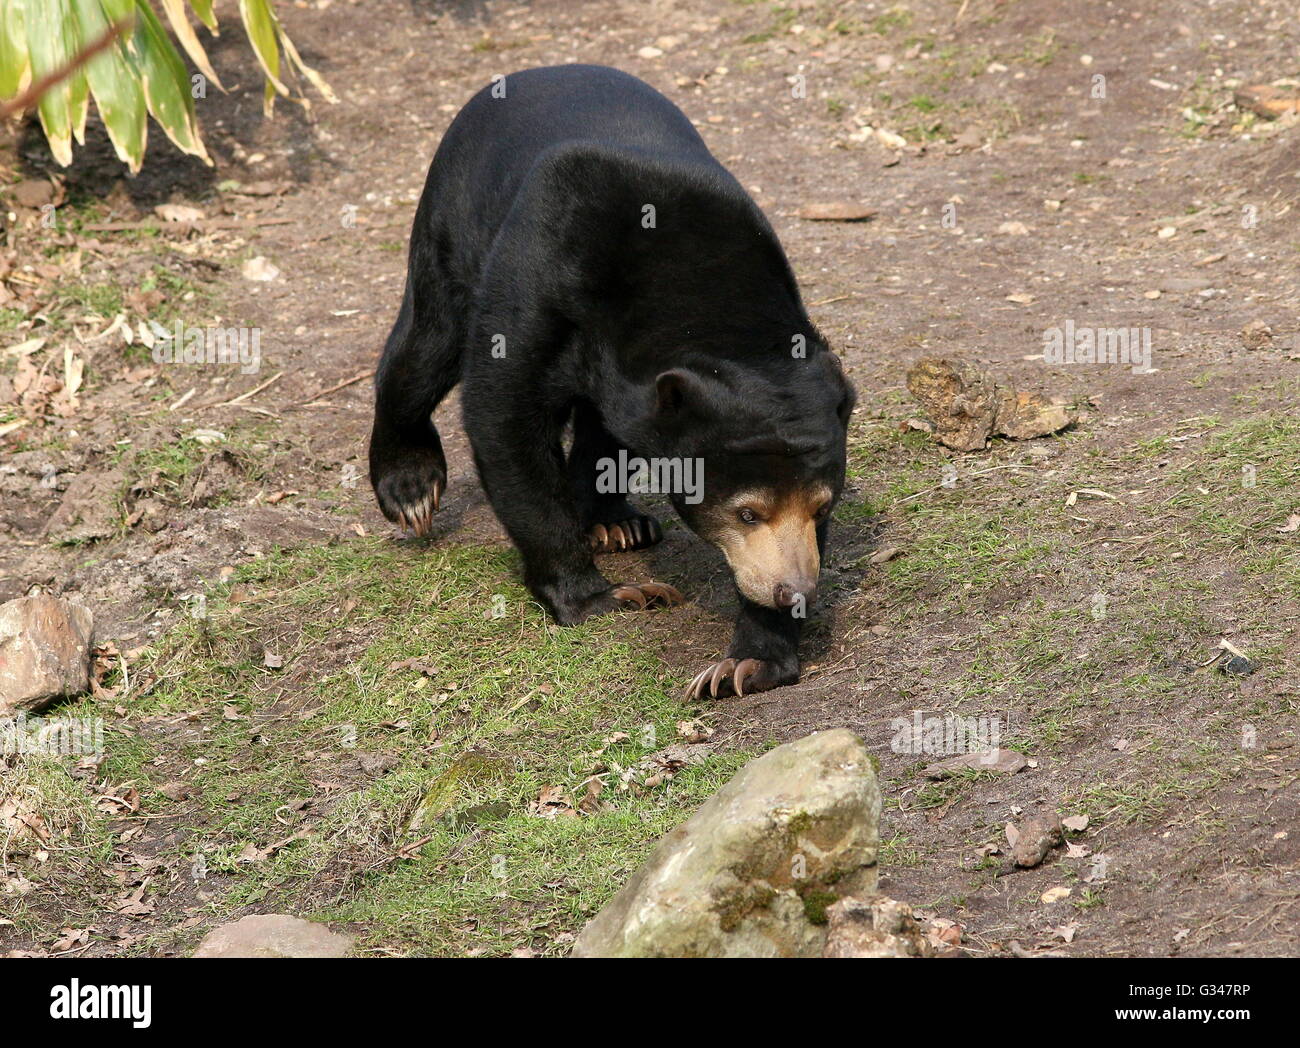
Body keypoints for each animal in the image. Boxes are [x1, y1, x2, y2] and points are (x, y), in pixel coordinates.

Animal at [368, 65, 855, 698]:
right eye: (748, 513)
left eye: (821, 508)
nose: (794, 592)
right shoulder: (539, 275)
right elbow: (503, 417)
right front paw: (602, 597)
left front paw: (746, 663)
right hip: (452, 224)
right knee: (426, 346)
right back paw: (411, 490)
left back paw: (616, 523)